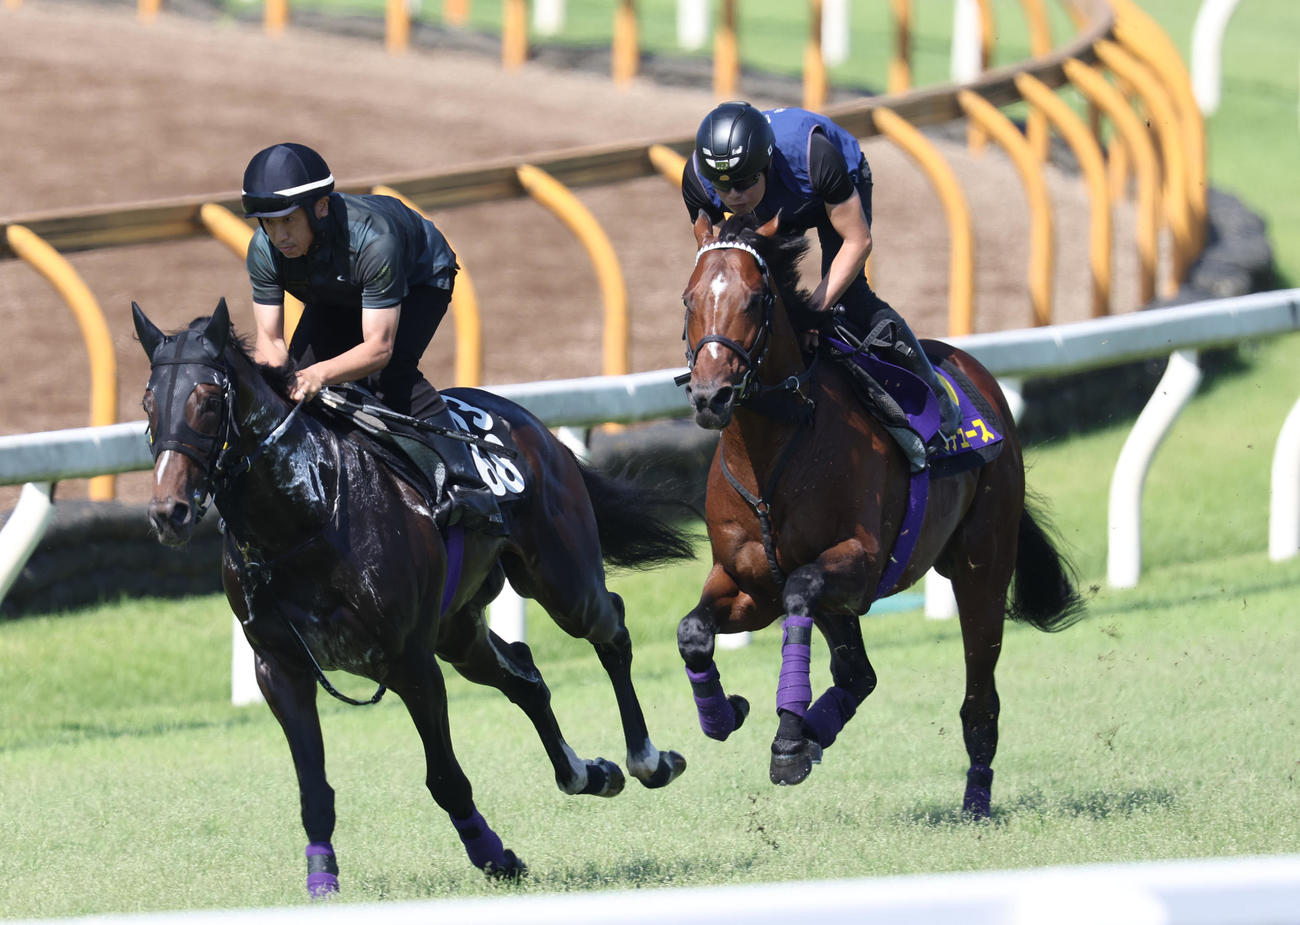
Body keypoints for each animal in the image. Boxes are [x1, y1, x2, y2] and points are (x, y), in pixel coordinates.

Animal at [132, 299, 695, 894]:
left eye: (208, 400)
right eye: (149, 402)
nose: (169, 511)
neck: (305, 514)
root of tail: (536, 428)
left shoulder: (410, 661)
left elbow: (444, 777)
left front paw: (496, 857)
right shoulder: (280, 668)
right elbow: (313, 787)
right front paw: (321, 877)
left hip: (562, 582)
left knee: (611, 630)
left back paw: (648, 759)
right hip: (459, 631)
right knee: (524, 674)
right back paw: (588, 772)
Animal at [675, 212, 1085, 816]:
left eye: (754, 299)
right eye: (689, 299)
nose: (711, 396)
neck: (771, 456)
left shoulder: (861, 563)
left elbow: (802, 587)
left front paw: (788, 742)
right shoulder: (750, 582)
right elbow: (694, 631)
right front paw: (728, 713)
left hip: (982, 565)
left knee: (979, 697)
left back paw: (975, 798)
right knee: (858, 674)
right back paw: (815, 729)